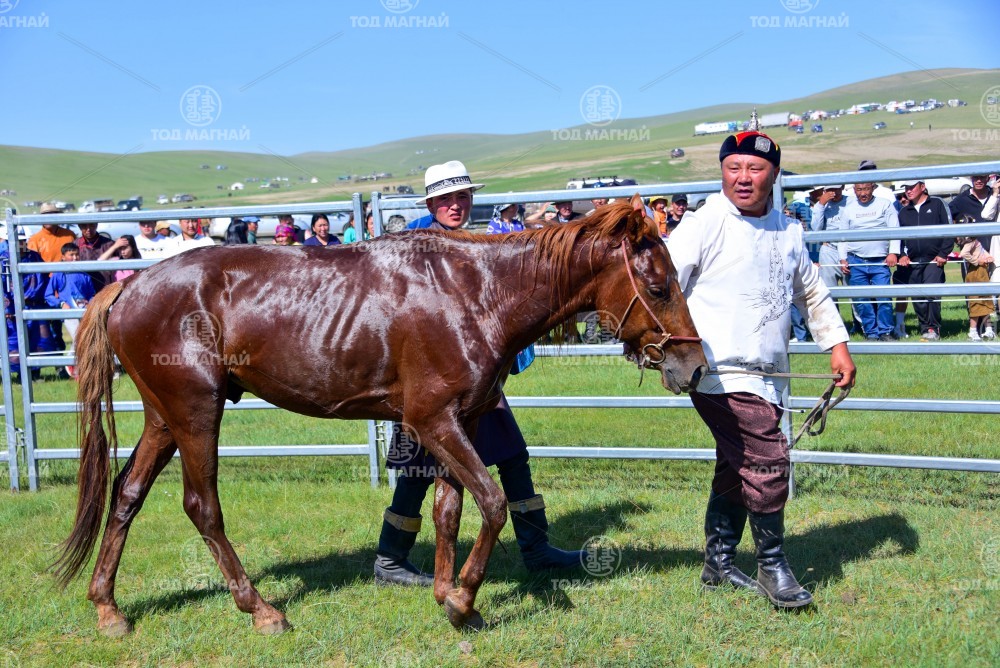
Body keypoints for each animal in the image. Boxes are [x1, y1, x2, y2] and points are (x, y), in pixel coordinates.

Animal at [54, 195, 708, 635]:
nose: (695, 366)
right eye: (658, 286)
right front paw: (463, 601)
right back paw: (261, 609)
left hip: (163, 418)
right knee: (201, 507)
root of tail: (129, 288)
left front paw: (446, 591)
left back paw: (108, 607)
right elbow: (492, 502)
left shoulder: (464, 422)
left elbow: (449, 508)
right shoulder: (434, 421)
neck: (473, 293)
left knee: (127, 493)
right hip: (195, 413)